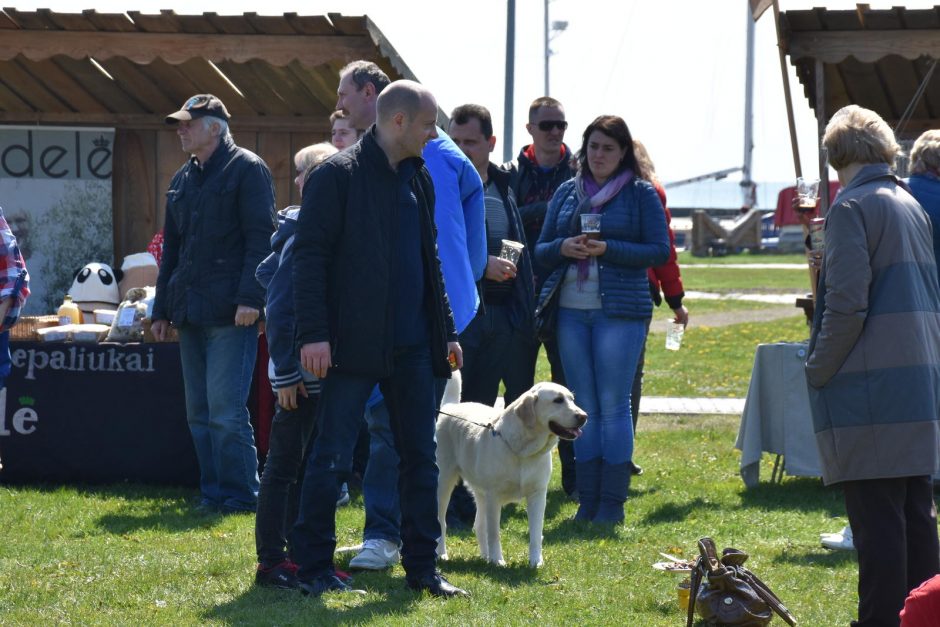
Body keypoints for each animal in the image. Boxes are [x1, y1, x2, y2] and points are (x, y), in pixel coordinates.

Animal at [436, 382, 584, 568]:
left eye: (572, 399)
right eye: (558, 400)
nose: (584, 416)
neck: (524, 451)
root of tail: (451, 407)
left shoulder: (538, 494)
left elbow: (536, 533)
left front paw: (536, 561)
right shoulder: (494, 496)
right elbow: (494, 533)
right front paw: (498, 560)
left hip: (480, 492)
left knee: (479, 525)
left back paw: (485, 557)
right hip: (444, 482)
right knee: (442, 522)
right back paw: (442, 553)